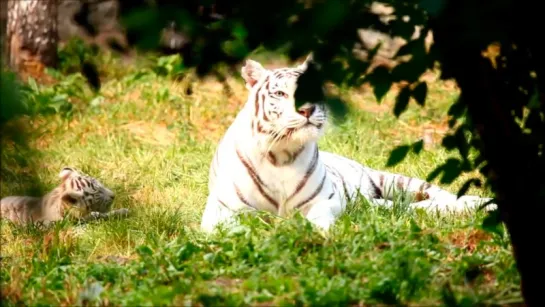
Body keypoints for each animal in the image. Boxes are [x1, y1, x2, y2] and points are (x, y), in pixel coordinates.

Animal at [201, 55, 498, 233]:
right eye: (281, 93)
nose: (307, 109)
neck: (282, 153)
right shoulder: (220, 209)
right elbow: (232, 225)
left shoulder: (326, 199)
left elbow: (318, 218)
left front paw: (315, 232)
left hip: (395, 181)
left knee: (446, 197)